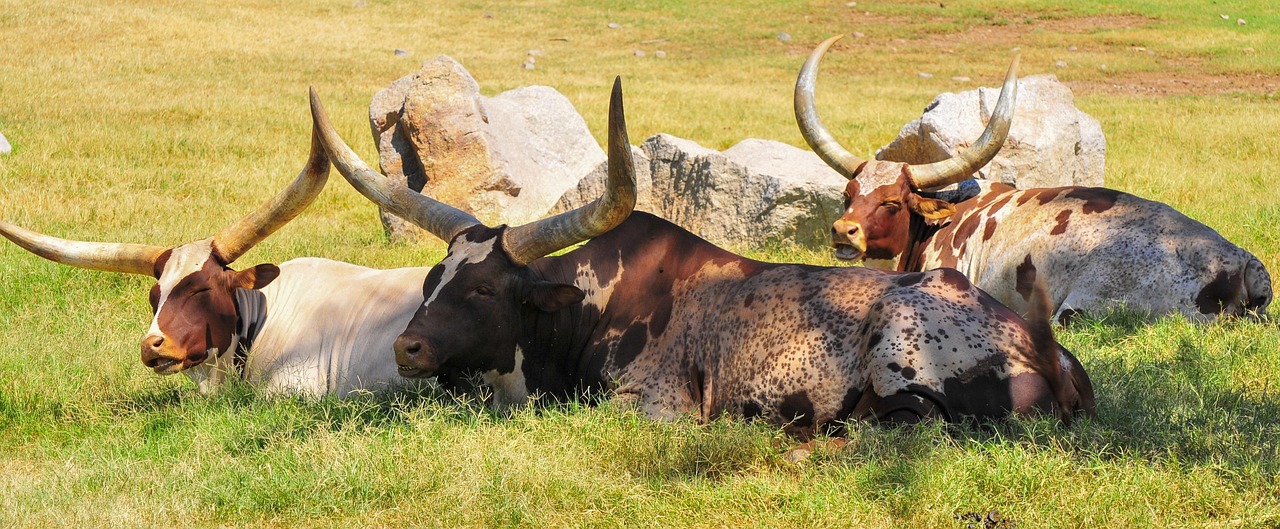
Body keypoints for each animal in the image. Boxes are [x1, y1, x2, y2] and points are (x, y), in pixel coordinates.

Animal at [311, 77, 1095, 438]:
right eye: (433, 279)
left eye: (482, 292)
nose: (408, 347)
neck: (587, 312)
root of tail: (1052, 354)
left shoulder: (653, 406)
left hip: (901, 358)